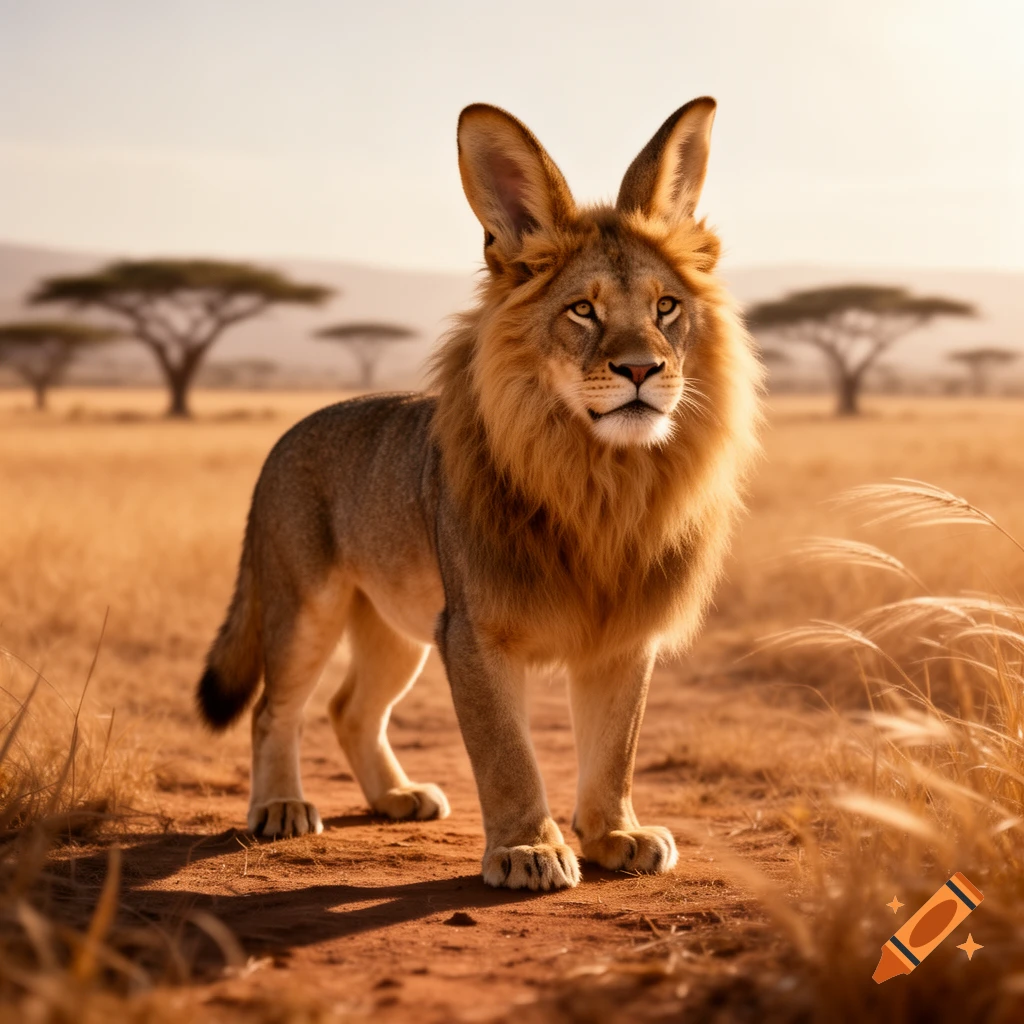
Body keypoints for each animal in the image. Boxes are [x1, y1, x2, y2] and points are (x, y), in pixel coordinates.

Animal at [197, 97, 763, 891]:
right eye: (582, 310)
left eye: (666, 307)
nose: (642, 369)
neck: (602, 480)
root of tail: (287, 434)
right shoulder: (473, 630)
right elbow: (506, 754)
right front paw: (529, 850)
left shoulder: (623, 633)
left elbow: (614, 747)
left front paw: (616, 835)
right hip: (304, 603)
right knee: (274, 709)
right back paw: (279, 807)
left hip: (394, 627)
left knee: (350, 708)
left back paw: (397, 797)